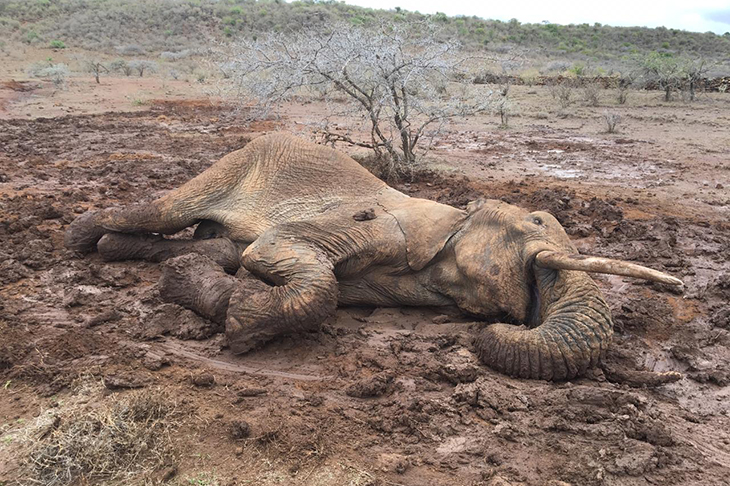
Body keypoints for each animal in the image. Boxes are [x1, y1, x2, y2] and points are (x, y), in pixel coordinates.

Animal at [65, 133, 682, 380]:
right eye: (536, 224)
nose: (487, 337)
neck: (456, 218)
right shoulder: (387, 227)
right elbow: (288, 261)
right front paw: (239, 318)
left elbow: (256, 261)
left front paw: (208, 287)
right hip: (235, 164)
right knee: (162, 211)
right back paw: (81, 238)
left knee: (214, 241)